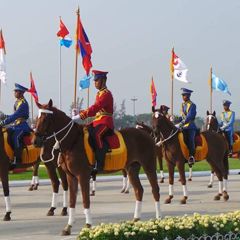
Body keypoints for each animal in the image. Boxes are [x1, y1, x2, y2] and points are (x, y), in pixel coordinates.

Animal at [31, 100, 161, 236]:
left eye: (46, 119)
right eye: (37, 118)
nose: (35, 141)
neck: (72, 141)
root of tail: (147, 135)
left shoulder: (83, 175)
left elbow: (85, 199)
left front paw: (88, 225)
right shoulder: (71, 176)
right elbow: (72, 200)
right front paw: (68, 226)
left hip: (149, 165)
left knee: (155, 189)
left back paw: (158, 219)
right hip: (132, 169)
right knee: (138, 190)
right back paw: (135, 219)